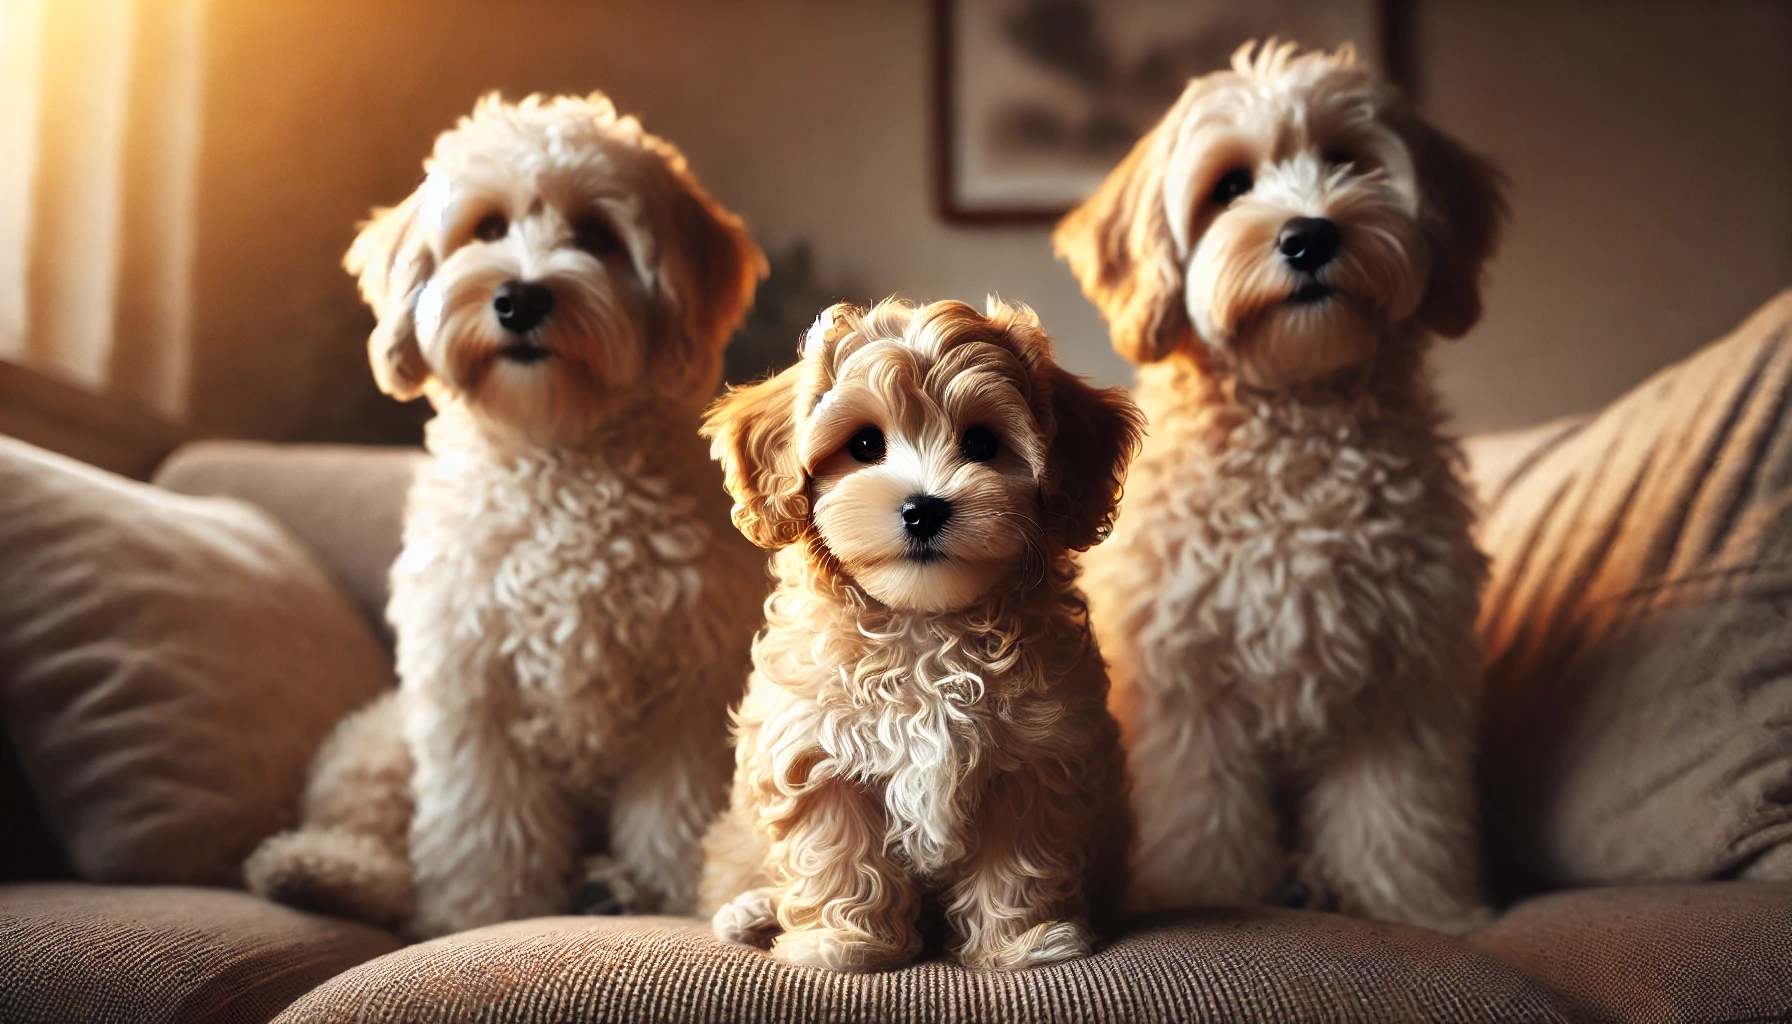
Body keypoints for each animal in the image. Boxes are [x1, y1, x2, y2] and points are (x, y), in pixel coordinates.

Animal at [243, 94, 763, 939]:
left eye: (596, 236)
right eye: (486, 228)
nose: (521, 298)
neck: (558, 456)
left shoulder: (687, 693)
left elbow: (673, 820)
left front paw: (676, 898)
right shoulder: (470, 686)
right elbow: (483, 831)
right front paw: (482, 918)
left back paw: (606, 890)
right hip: (381, 738)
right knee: (373, 841)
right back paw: (315, 869)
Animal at [691, 301, 1139, 975]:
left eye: (981, 443)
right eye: (864, 444)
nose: (923, 509)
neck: (923, 623)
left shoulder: (1036, 757)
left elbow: (1018, 861)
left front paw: (1023, 943)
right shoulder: (816, 751)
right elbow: (837, 853)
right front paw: (841, 943)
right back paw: (749, 914)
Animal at [1053, 42, 1505, 939]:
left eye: (1349, 161)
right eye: (1229, 186)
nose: (1309, 234)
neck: (1298, 426)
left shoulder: (1402, 674)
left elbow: (1401, 817)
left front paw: (1416, 911)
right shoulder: (1188, 682)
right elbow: (1204, 816)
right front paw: (1204, 895)